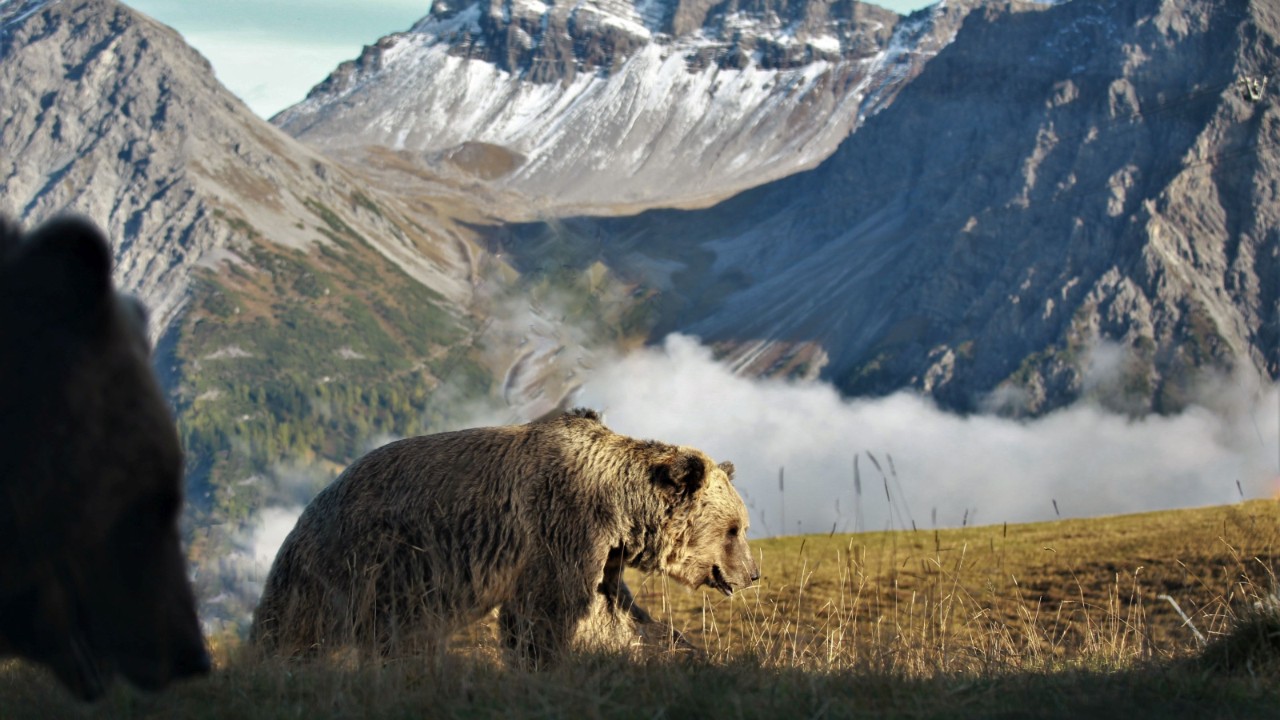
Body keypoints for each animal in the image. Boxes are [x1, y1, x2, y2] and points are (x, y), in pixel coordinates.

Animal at [251, 408, 758, 666]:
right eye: (734, 528)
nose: (751, 574)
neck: (619, 511)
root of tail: (309, 507)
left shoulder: (603, 557)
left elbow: (619, 614)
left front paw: (675, 650)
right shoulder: (561, 526)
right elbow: (550, 612)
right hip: (359, 560)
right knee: (300, 624)